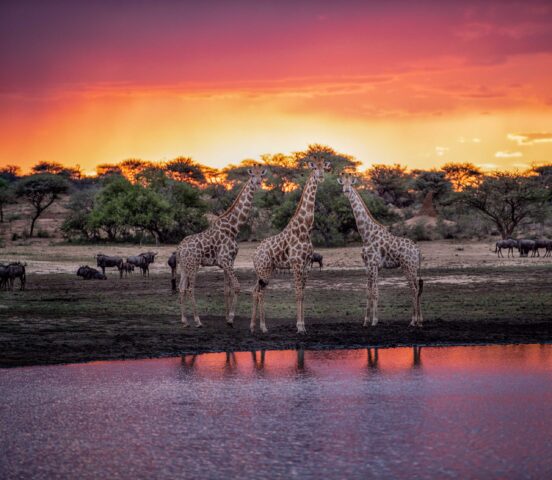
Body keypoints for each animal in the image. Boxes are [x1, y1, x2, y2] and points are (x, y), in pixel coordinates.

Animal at [175, 164, 266, 326]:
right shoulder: (225, 260)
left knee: (181, 288)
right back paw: (197, 321)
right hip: (193, 265)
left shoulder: (228, 261)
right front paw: (231, 318)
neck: (233, 228)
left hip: (184, 266)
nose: (258, 183)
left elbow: (227, 289)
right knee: (190, 289)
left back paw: (184, 320)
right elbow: (237, 287)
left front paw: (226, 317)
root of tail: (179, 249)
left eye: (261, 175)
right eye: (252, 175)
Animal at [251, 155, 332, 334]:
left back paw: (253, 326)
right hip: (265, 271)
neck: (305, 229)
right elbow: (297, 294)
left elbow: (303, 294)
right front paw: (300, 327)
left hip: (263, 271)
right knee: (260, 293)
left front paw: (303, 325)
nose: (321, 176)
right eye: (314, 167)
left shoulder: (306, 264)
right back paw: (263, 327)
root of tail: (254, 254)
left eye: (324, 167)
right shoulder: (296, 264)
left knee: (255, 291)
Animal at [336, 172, 422, 326]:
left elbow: (375, 292)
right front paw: (366, 321)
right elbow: (368, 291)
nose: (346, 191)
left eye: (351, 183)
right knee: (417, 288)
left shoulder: (374, 264)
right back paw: (419, 320)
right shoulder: (368, 266)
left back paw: (413, 321)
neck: (365, 234)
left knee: (414, 289)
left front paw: (375, 320)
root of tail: (417, 250)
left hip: (408, 266)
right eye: (342, 183)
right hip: (412, 267)